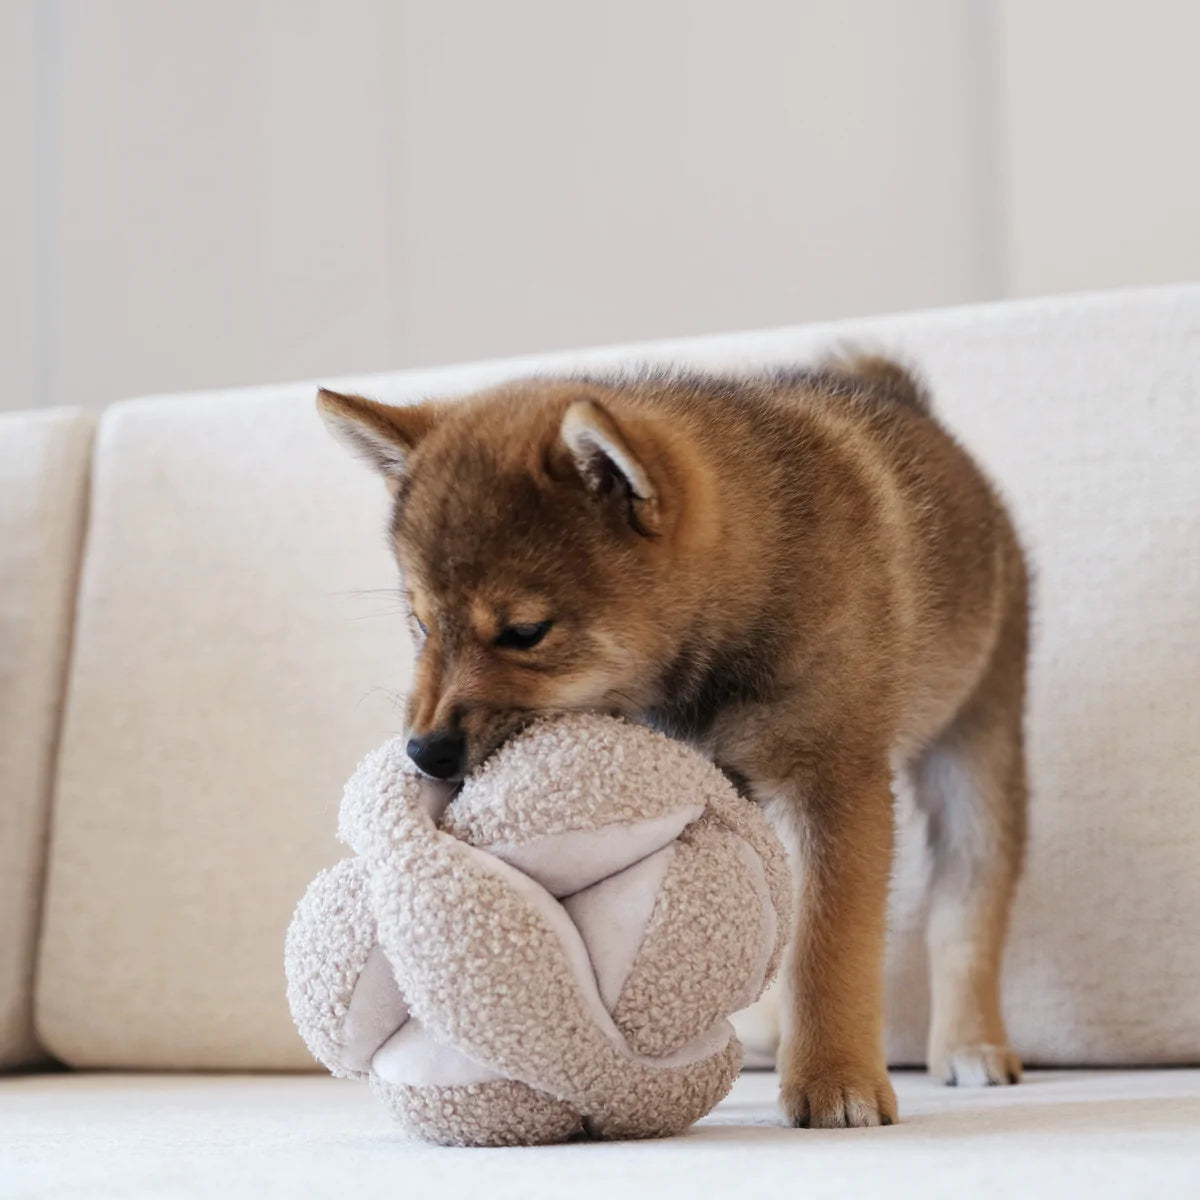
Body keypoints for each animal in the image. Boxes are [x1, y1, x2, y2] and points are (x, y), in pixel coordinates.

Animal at [321, 352, 1032, 1123]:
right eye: (420, 625)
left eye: (525, 632)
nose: (426, 752)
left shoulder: (836, 784)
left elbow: (827, 952)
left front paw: (834, 1080)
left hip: (977, 754)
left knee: (968, 907)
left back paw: (969, 1044)